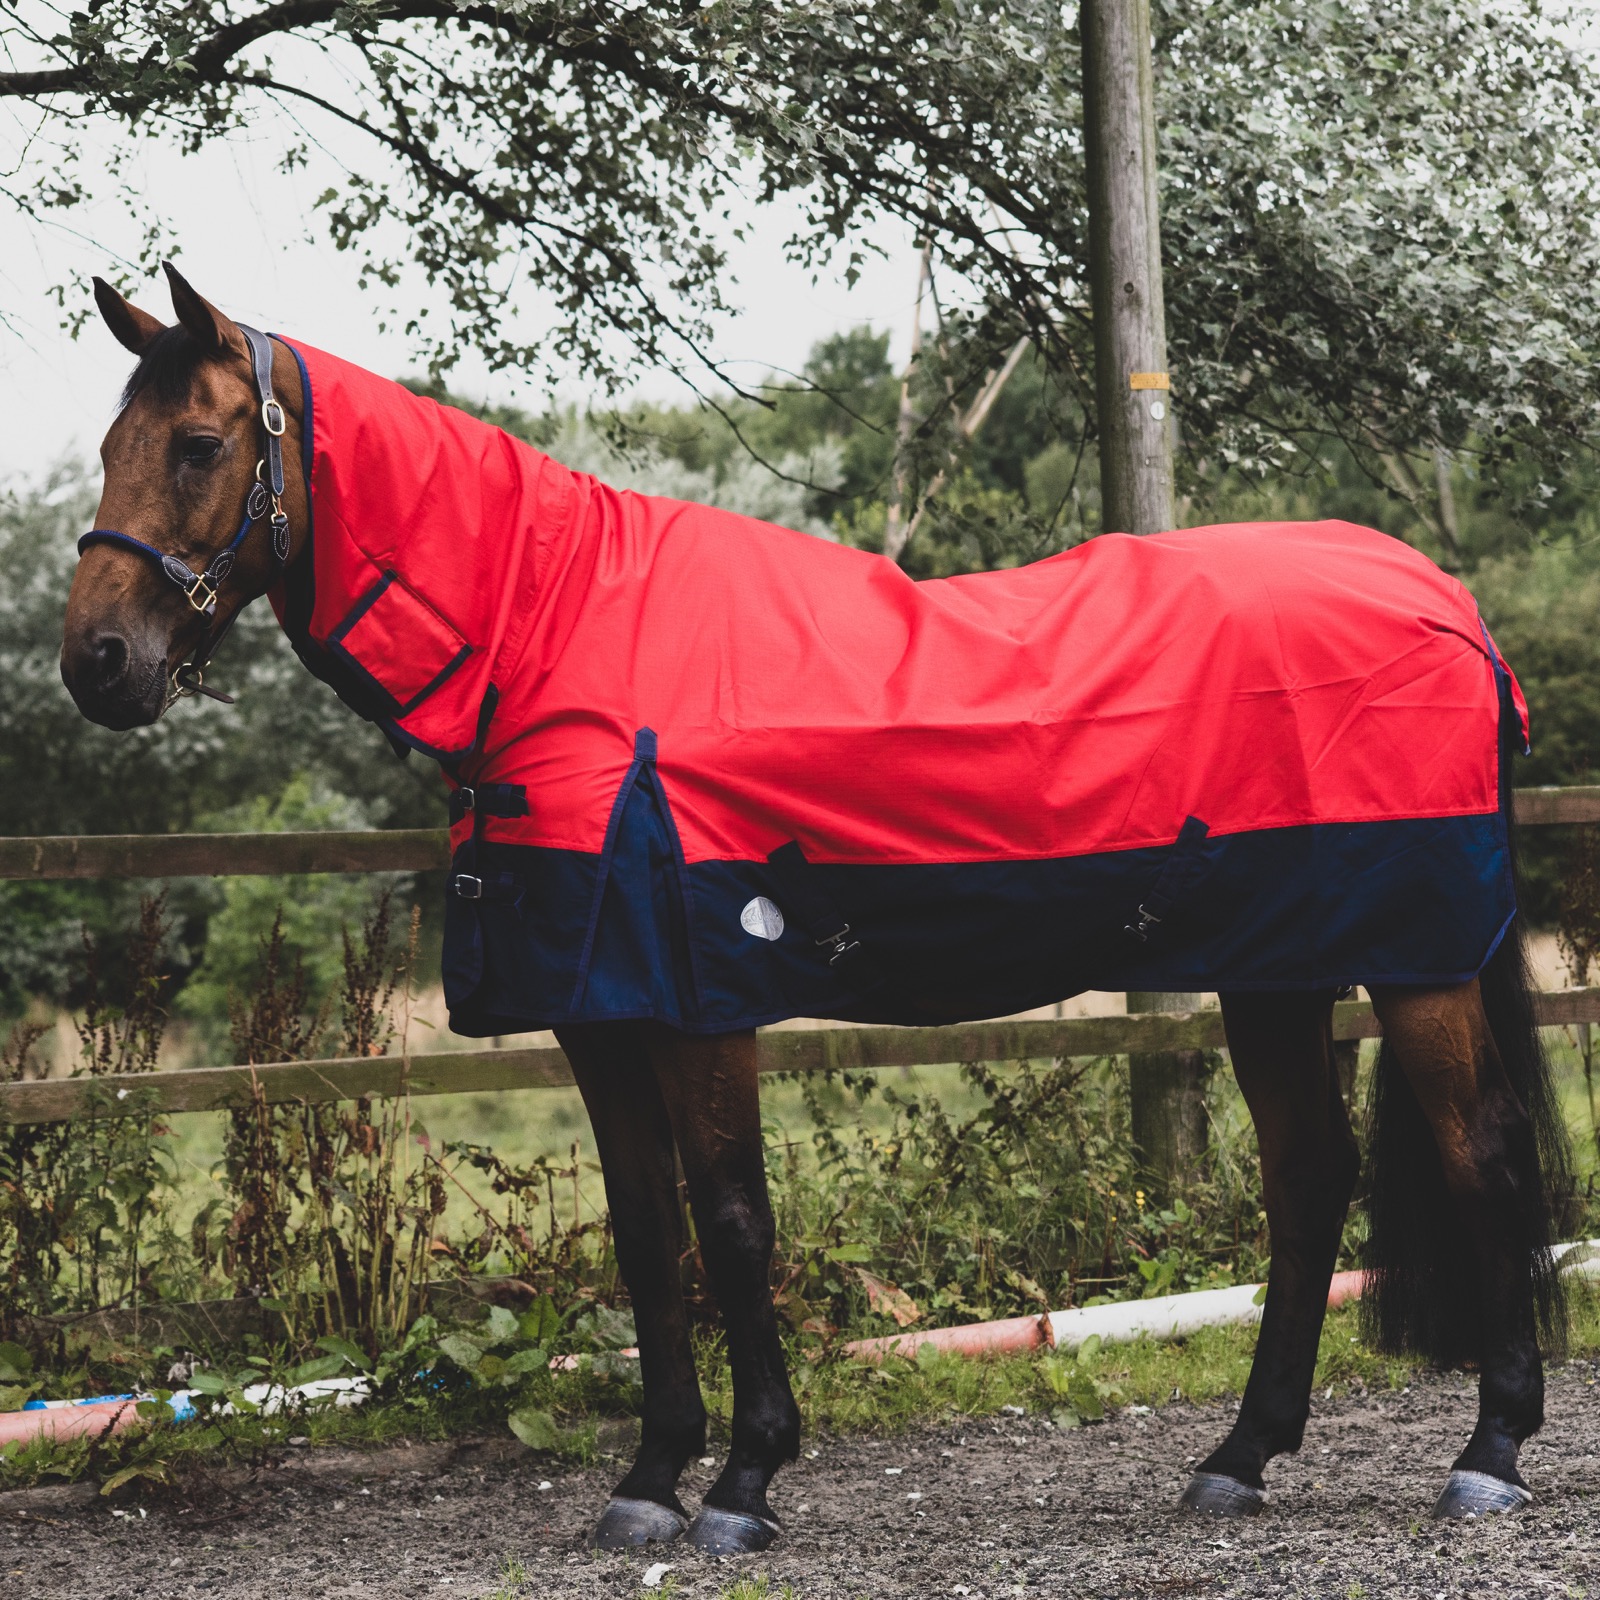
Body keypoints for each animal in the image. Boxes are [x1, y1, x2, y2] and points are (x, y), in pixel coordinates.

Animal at [61, 264, 1571, 1551]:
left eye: (198, 445)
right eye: (106, 444)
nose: (97, 665)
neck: (559, 627)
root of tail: (1444, 602)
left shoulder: (700, 1003)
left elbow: (733, 1223)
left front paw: (743, 1480)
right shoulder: (601, 1014)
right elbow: (647, 1233)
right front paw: (649, 1479)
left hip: (1417, 966)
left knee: (1485, 1156)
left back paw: (1488, 1455)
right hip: (1276, 971)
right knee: (1309, 1179)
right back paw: (1238, 1459)